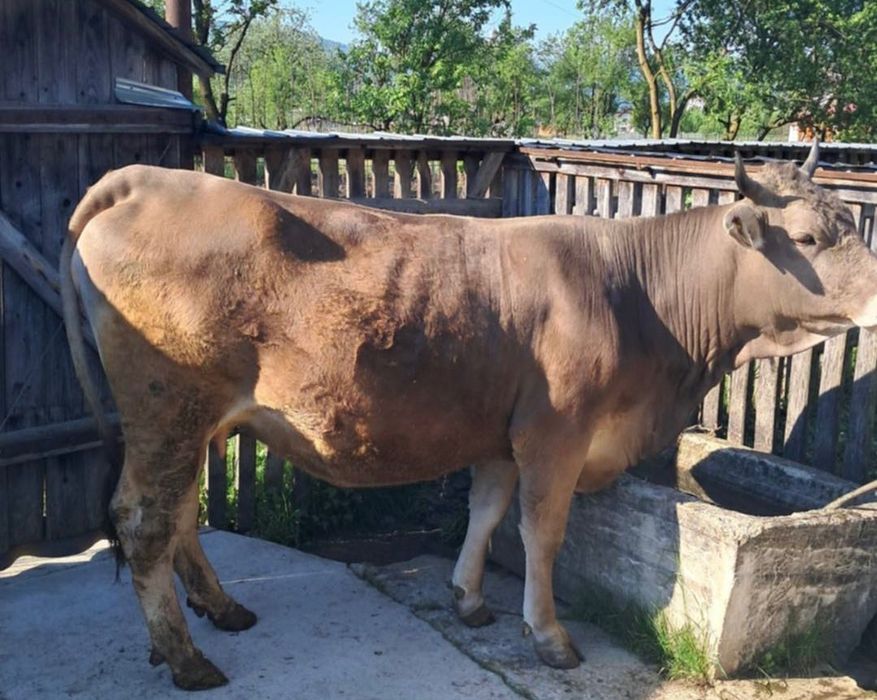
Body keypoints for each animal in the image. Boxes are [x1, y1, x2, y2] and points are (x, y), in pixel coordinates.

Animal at [60, 141, 877, 689]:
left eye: (851, 222)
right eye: (807, 239)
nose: (875, 296)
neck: (636, 294)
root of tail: (143, 179)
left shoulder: (500, 431)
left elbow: (485, 512)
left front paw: (468, 599)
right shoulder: (555, 432)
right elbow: (541, 533)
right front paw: (548, 636)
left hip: (194, 423)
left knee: (181, 514)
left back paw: (221, 611)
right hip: (168, 407)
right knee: (145, 519)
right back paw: (187, 657)